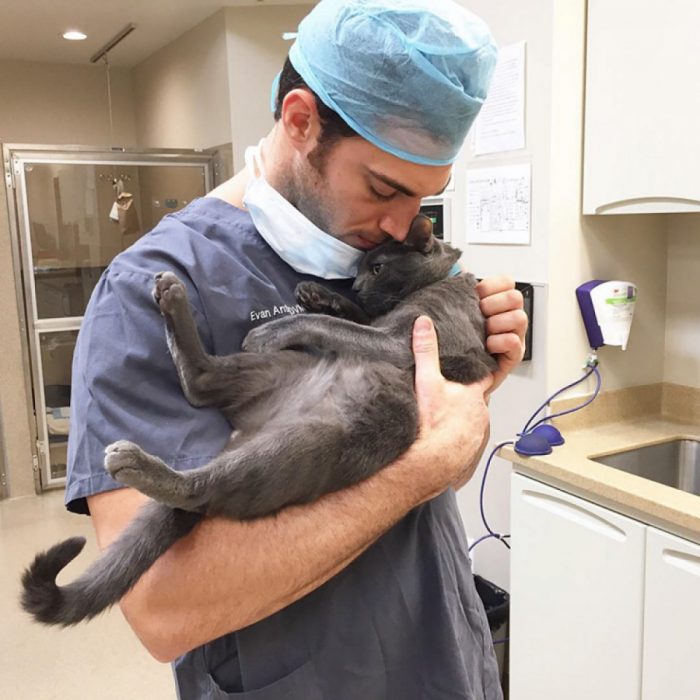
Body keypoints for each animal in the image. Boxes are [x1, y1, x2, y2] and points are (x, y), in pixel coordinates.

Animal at [19, 216, 494, 628]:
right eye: (356, 269)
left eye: (378, 267)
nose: (356, 283)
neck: (437, 281)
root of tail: (252, 433)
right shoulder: (379, 324)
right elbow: (348, 317)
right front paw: (318, 293)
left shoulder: (403, 338)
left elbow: (327, 324)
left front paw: (284, 322)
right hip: (276, 371)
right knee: (202, 382)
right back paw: (171, 295)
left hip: (312, 443)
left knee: (202, 488)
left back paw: (136, 460)